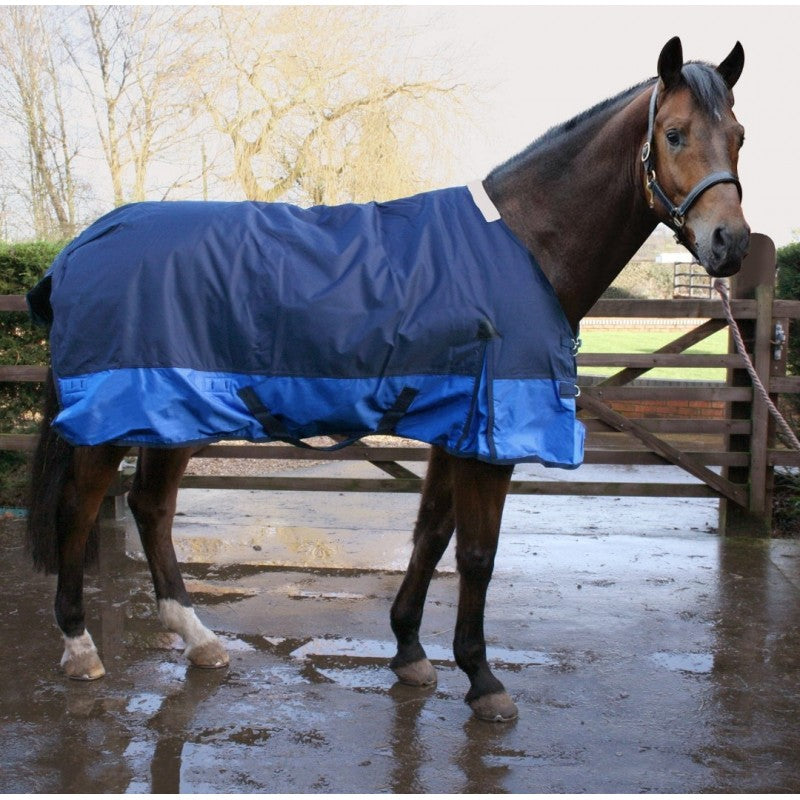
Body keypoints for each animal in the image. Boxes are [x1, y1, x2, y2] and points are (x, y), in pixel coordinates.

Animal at [26, 37, 749, 723]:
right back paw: (80, 647)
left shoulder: (455, 427)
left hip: (170, 411)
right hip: (114, 416)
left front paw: (408, 650)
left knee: (151, 508)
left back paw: (199, 640)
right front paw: (483, 680)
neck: (525, 244)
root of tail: (81, 246)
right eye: (675, 133)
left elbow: (431, 534)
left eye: (739, 135)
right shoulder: (489, 439)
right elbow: (477, 554)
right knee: (80, 507)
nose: (731, 243)